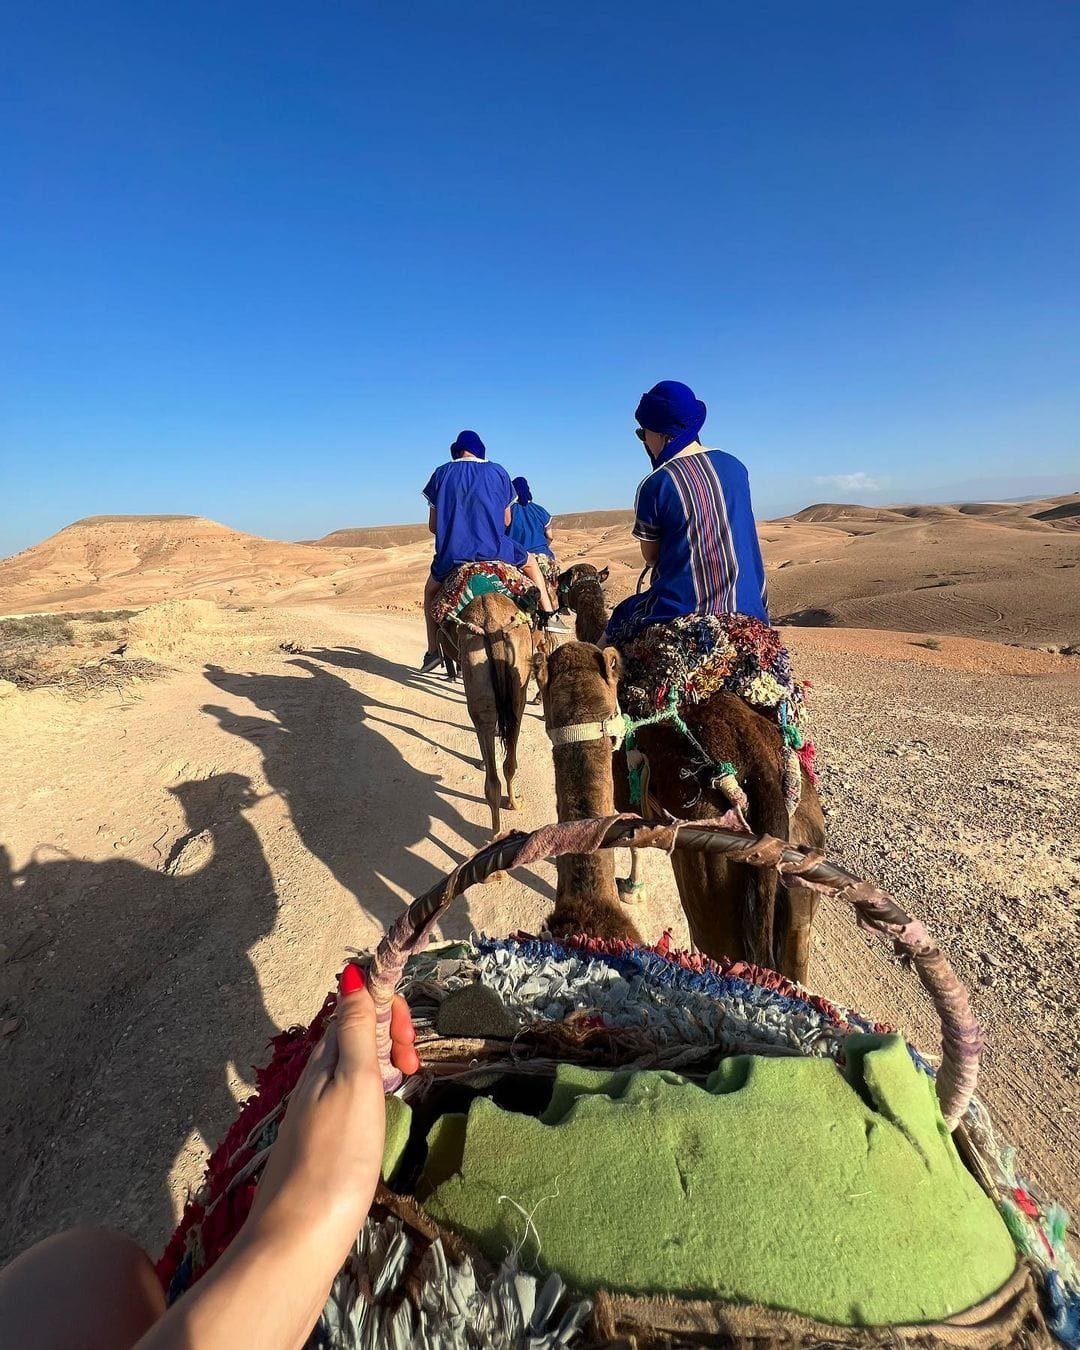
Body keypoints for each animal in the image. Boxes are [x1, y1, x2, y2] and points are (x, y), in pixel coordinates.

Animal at [437, 591, 534, 831]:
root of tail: (490, 622)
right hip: (517, 691)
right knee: (508, 762)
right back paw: (513, 805)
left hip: (477, 669)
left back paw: (497, 832)